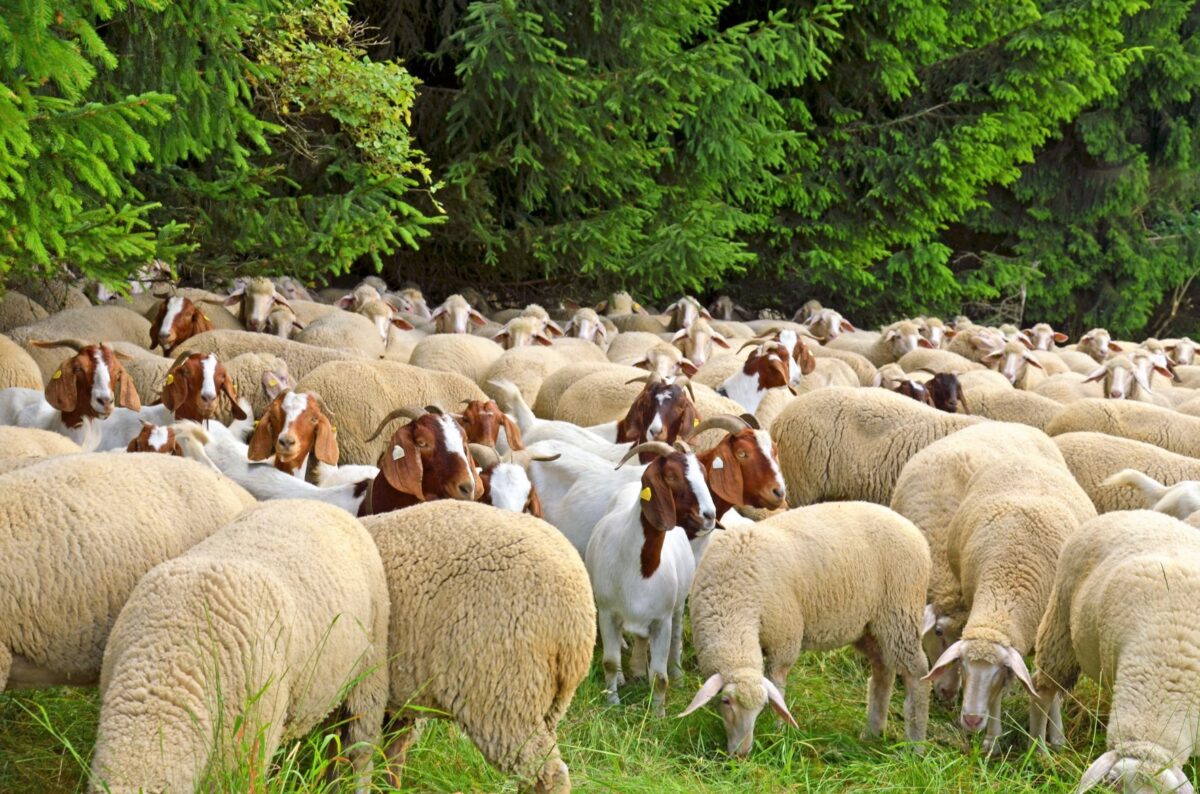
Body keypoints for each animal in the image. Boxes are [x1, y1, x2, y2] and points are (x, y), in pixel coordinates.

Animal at [586, 441, 716, 715]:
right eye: (672, 476)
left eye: (703, 473)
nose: (709, 515)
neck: (639, 568)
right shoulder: (607, 612)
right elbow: (610, 662)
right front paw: (612, 701)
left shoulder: (661, 620)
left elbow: (660, 676)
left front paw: (658, 714)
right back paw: (630, 673)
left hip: (676, 608)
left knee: (674, 639)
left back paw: (676, 675)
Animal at [681, 501, 931, 755]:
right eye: (725, 701)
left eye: (761, 706)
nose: (742, 753)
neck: (732, 597)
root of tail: (915, 533)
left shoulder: (784, 638)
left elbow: (778, 682)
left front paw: (778, 730)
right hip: (871, 627)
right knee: (883, 671)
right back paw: (872, 732)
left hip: (900, 614)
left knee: (917, 674)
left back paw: (915, 745)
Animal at [924, 458, 1095, 754]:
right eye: (962, 666)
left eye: (998, 671)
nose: (971, 719)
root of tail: (1025, 459)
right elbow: (999, 698)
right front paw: (992, 740)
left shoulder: (1050, 632)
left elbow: (1047, 688)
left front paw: (1055, 737)